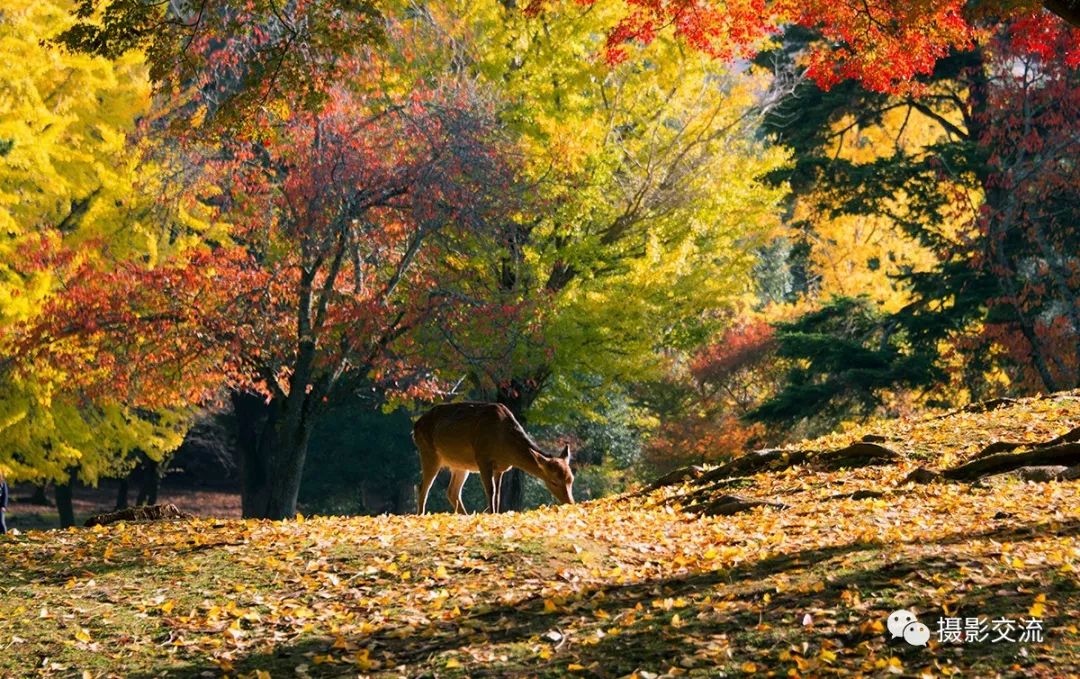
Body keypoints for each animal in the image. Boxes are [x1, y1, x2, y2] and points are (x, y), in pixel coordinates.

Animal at [410, 399, 574, 511]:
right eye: (553, 481)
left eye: (571, 479)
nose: (570, 503)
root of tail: (415, 427)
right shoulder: (483, 458)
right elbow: (491, 491)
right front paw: (491, 514)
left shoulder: (501, 468)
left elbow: (498, 494)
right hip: (429, 453)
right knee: (422, 487)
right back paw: (421, 515)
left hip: (460, 465)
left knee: (452, 492)